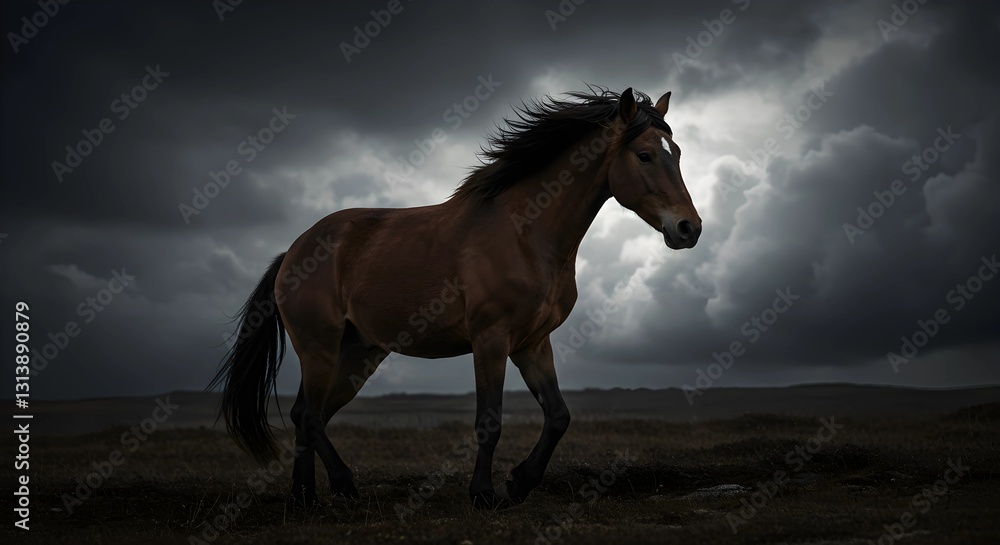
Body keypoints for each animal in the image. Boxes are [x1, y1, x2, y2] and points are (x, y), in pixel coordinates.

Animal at [209, 86, 702, 510]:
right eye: (644, 155)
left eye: (676, 153)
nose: (689, 229)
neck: (526, 231)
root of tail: (293, 252)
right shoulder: (491, 339)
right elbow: (490, 420)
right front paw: (484, 493)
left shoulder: (532, 343)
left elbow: (559, 416)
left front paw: (518, 484)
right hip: (319, 347)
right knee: (310, 417)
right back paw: (343, 487)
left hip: (358, 353)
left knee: (305, 415)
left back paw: (306, 497)